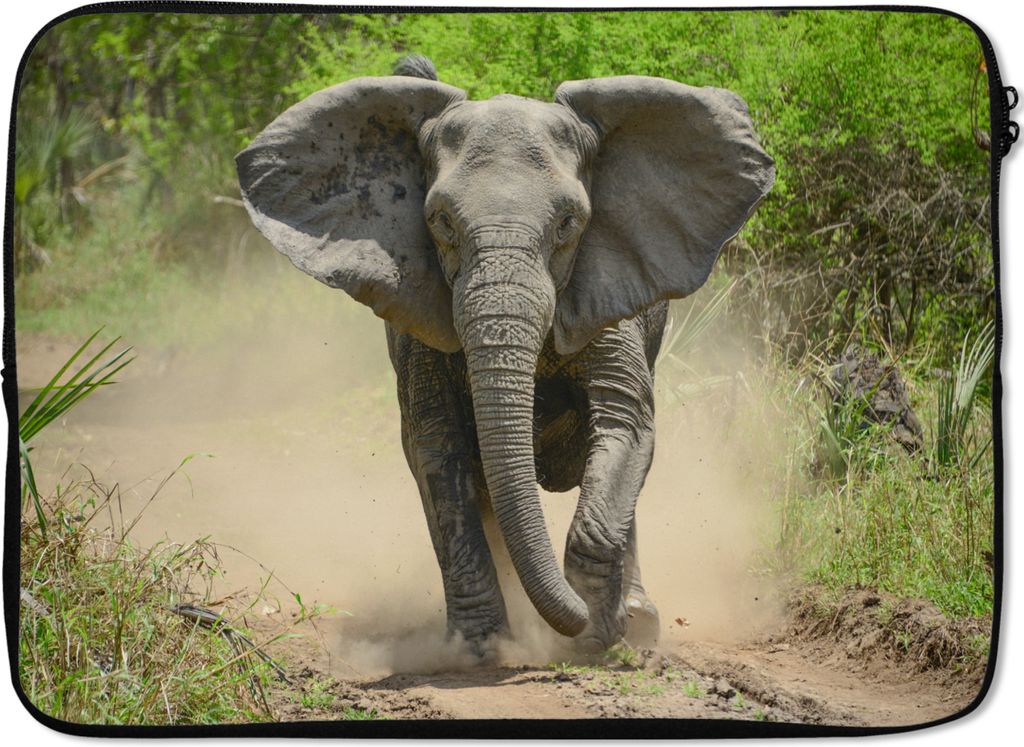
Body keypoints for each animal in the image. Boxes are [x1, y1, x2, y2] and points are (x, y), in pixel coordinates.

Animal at [236, 58, 774, 656]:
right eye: (441, 221)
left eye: (568, 223)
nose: (579, 620)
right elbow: (436, 445)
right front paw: (479, 648)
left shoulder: (610, 289)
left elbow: (625, 421)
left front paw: (598, 637)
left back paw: (637, 621)